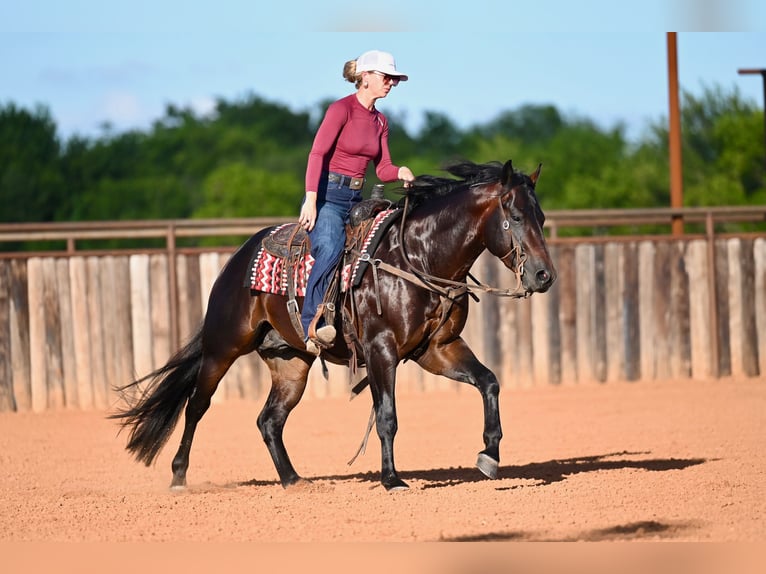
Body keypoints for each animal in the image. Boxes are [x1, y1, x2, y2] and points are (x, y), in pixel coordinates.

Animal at [110, 159, 557, 492]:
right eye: (516, 216)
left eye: (542, 216)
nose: (544, 275)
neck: (419, 256)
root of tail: (238, 258)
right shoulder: (380, 349)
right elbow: (386, 415)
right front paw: (392, 480)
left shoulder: (438, 349)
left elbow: (489, 382)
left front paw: (490, 456)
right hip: (223, 347)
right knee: (196, 406)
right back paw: (179, 477)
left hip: (290, 362)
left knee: (269, 420)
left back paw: (293, 480)